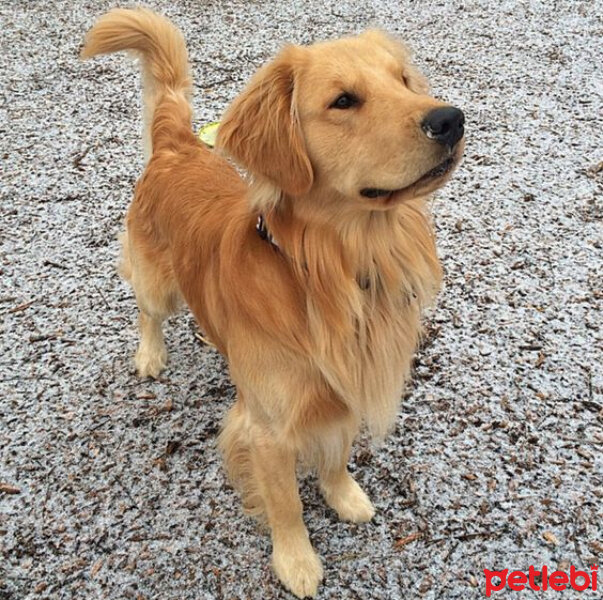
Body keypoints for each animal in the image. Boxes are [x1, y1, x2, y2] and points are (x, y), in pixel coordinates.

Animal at [82, 7, 464, 596]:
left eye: (403, 81)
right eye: (344, 101)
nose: (450, 120)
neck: (328, 273)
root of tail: (177, 145)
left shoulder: (342, 386)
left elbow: (336, 456)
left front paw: (344, 495)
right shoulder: (266, 429)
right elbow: (285, 505)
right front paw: (297, 560)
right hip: (157, 283)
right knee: (147, 311)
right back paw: (149, 354)